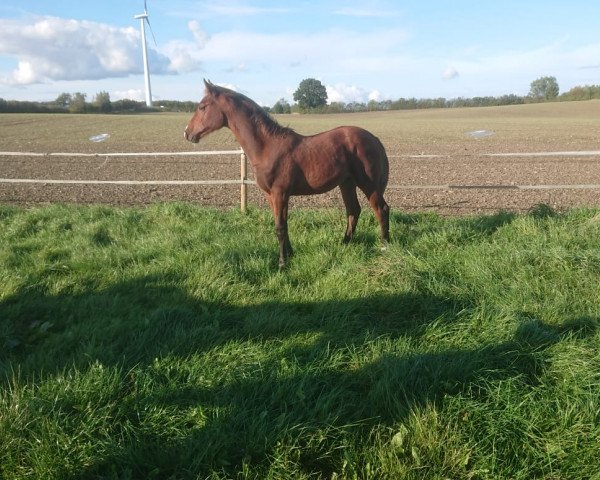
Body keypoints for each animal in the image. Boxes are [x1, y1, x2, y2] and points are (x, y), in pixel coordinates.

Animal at [184, 80, 390, 268]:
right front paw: (290, 254)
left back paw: (384, 245)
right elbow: (281, 224)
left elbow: (280, 226)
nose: (187, 133)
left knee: (381, 209)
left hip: (367, 183)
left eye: (202, 107)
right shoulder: (270, 195)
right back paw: (345, 243)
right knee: (353, 210)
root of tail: (374, 138)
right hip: (346, 183)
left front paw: (282, 263)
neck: (267, 147)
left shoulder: (280, 193)